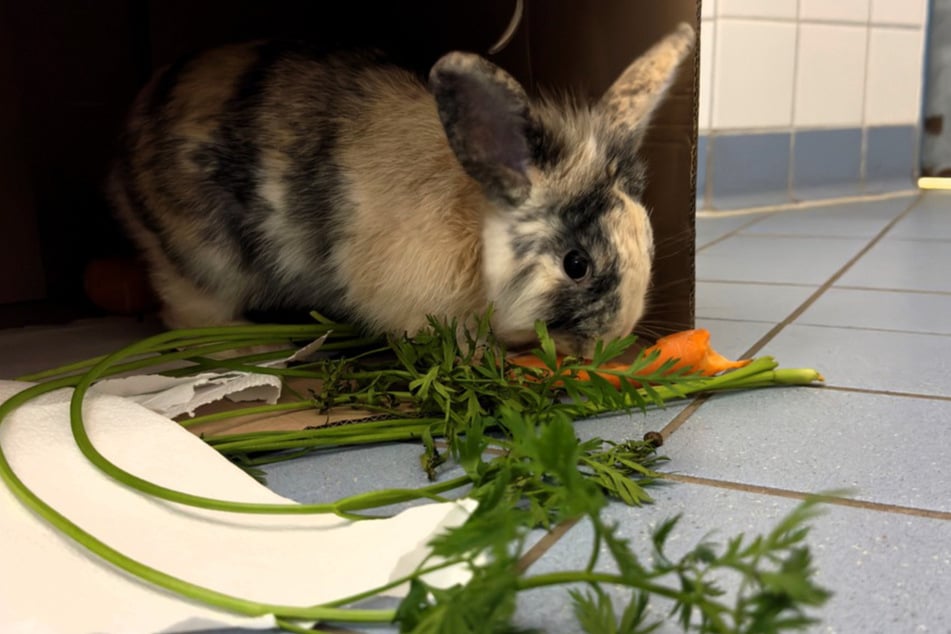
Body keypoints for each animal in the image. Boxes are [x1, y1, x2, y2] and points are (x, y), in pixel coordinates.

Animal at [107, 23, 695, 358]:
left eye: (648, 242)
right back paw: (248, 344)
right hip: (202, 262)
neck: (473, 226)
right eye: (576, 265)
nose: (614, 337)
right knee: (188, 315)